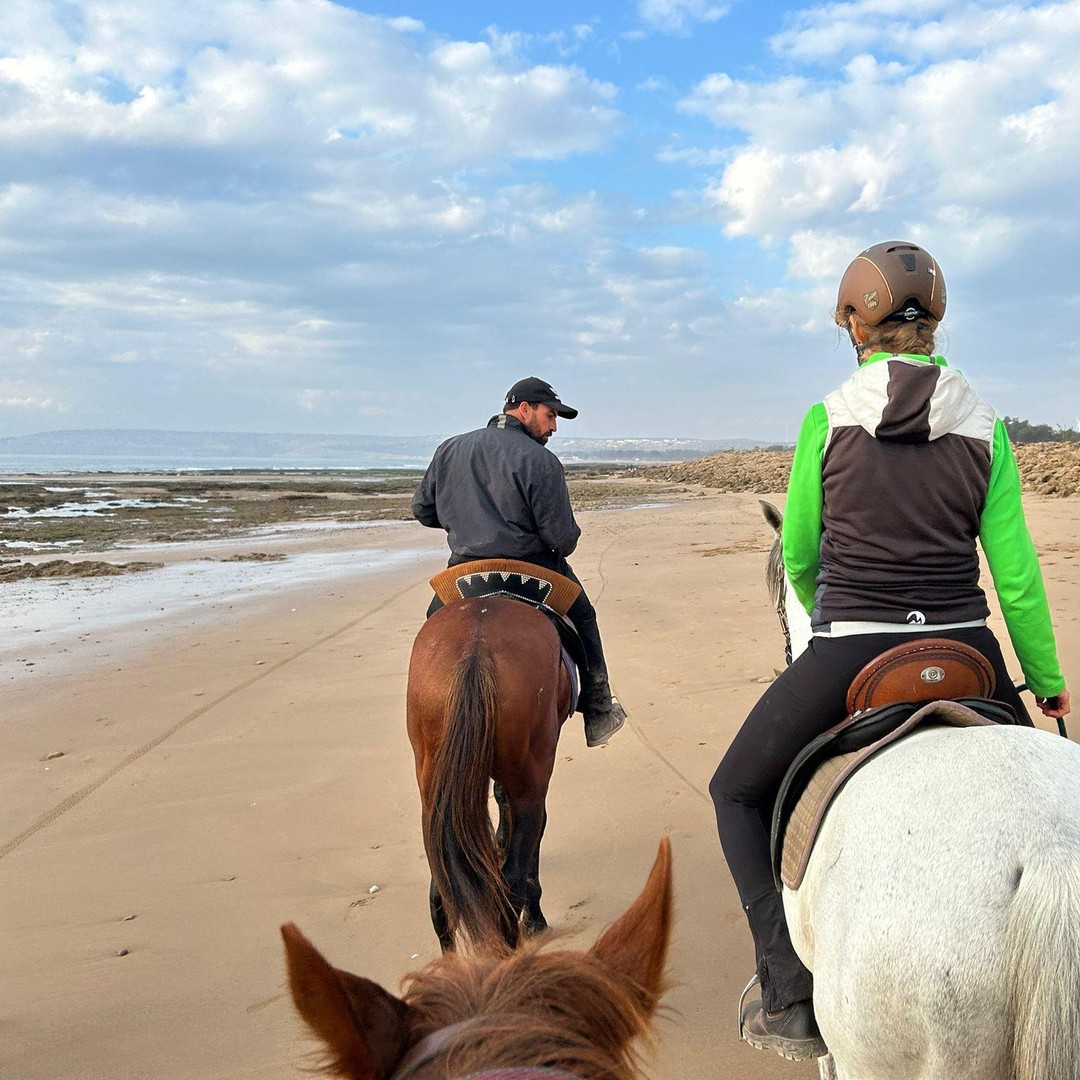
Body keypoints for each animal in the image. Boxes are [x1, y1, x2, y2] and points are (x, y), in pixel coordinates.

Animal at [406, 595, 574, 951]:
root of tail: (476, 650)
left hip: (432, 787)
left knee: (440, 892)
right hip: (530, 779)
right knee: (513, 879)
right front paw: (535, 922)